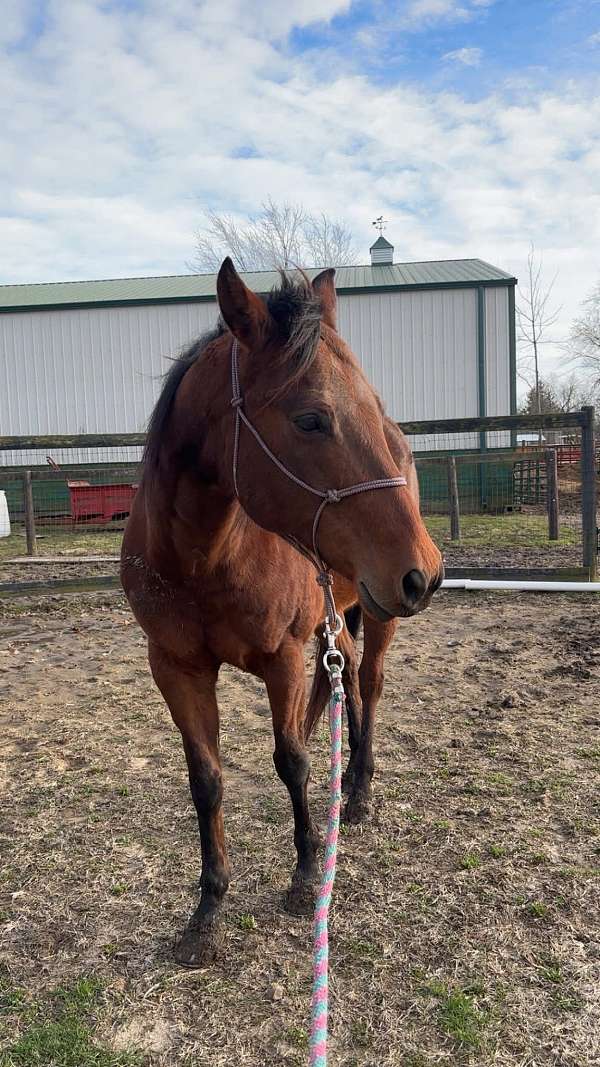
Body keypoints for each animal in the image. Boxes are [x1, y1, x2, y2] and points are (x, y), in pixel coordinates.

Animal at [121, 259, 443, 966]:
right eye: (310, 420)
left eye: (367, 407)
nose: (426, 573)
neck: (204, 558)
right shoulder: (176, 668)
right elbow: (206, 780)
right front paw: (208, 911)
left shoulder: (284, 657)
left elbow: (291, 759)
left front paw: (304, 875)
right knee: (350, 686)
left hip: (377, 614)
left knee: (369, 683)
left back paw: (359, 792)